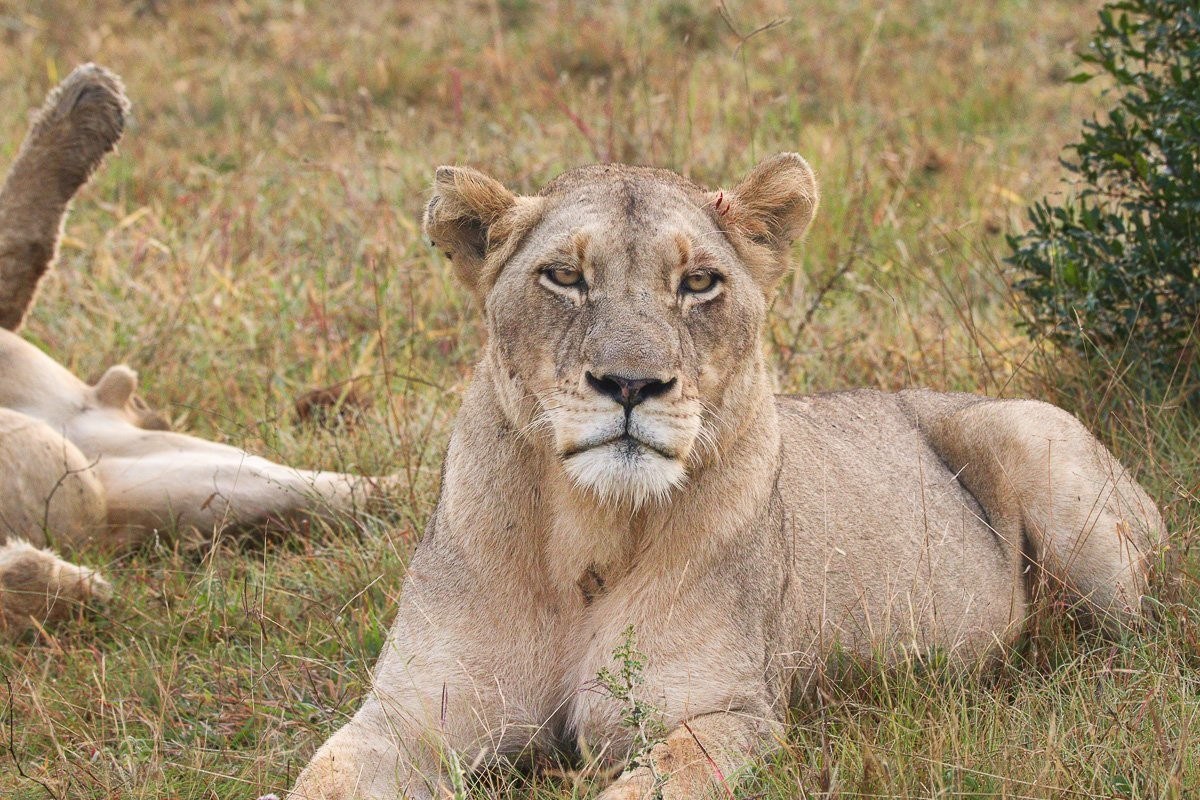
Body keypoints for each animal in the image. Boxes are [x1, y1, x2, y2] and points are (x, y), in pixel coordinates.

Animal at [287, 154, 1166, 800]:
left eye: (699, 282)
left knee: (1130, 647)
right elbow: (321, 779)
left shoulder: (728, 715)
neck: (583, 537)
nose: (631, 384)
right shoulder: (411, 714)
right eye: (564, 277)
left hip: (1030, 439)